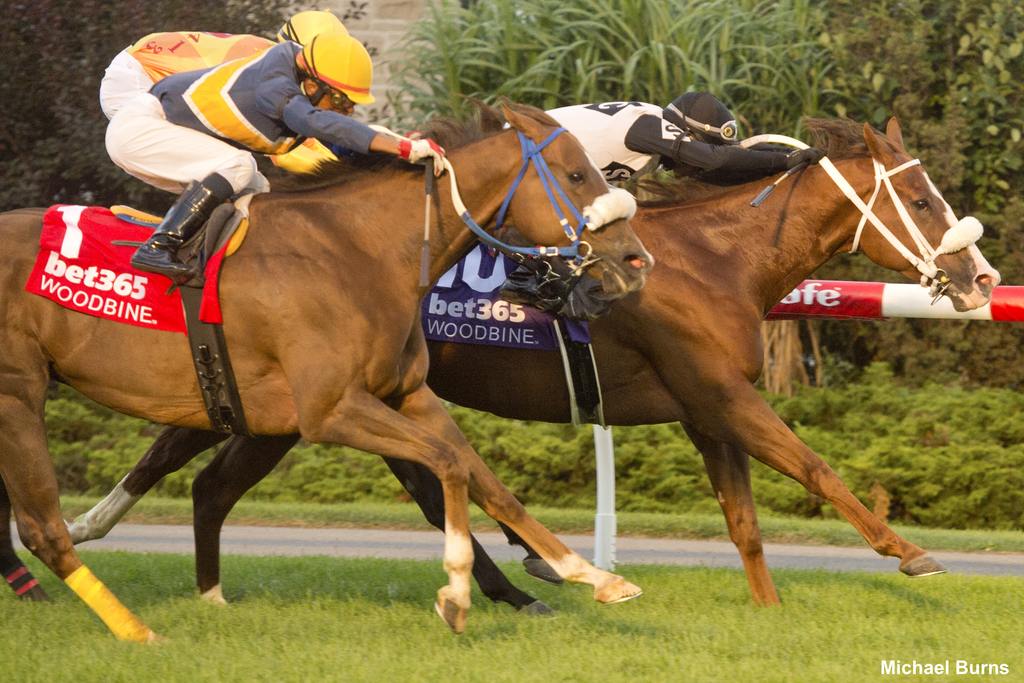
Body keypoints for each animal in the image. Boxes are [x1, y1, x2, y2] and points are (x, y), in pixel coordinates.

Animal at [0, 102, 651, 643]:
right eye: (576, 175)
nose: (635, 259)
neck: (359, 252)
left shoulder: (406, 394)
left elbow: (484, 478)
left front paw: (593, 576)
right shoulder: (330, 409)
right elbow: (447, 464)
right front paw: (457, 593)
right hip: (18, 392)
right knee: (41, 527)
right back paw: (136, 630)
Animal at [29, 114, 991, 610]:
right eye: (918, 197)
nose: (980, 276)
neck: (718, 259)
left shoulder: (704, 408)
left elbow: (746, 521)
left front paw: (768, 612)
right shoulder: (721, 393)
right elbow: (815, 466)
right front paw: (911, 552)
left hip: (319, 399)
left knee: (213, 471)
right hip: (305, 400)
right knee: (200, 462)